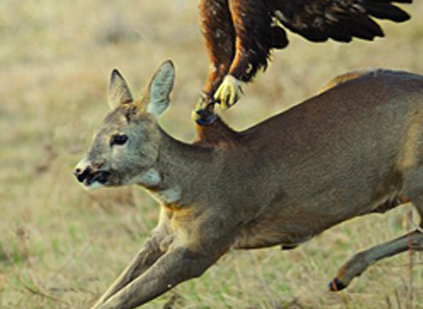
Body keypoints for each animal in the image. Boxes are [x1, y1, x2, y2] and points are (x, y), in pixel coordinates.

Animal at [74, 60, 423, 308]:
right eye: (95, 133)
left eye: (120, 138)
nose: (81, 171)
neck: (193, 183)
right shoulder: (161, 234)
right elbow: (112, 289)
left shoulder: (206, 243)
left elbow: (119, 299)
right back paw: (340, 277)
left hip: (416, 175)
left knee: (420, 233)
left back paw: (342, 275)